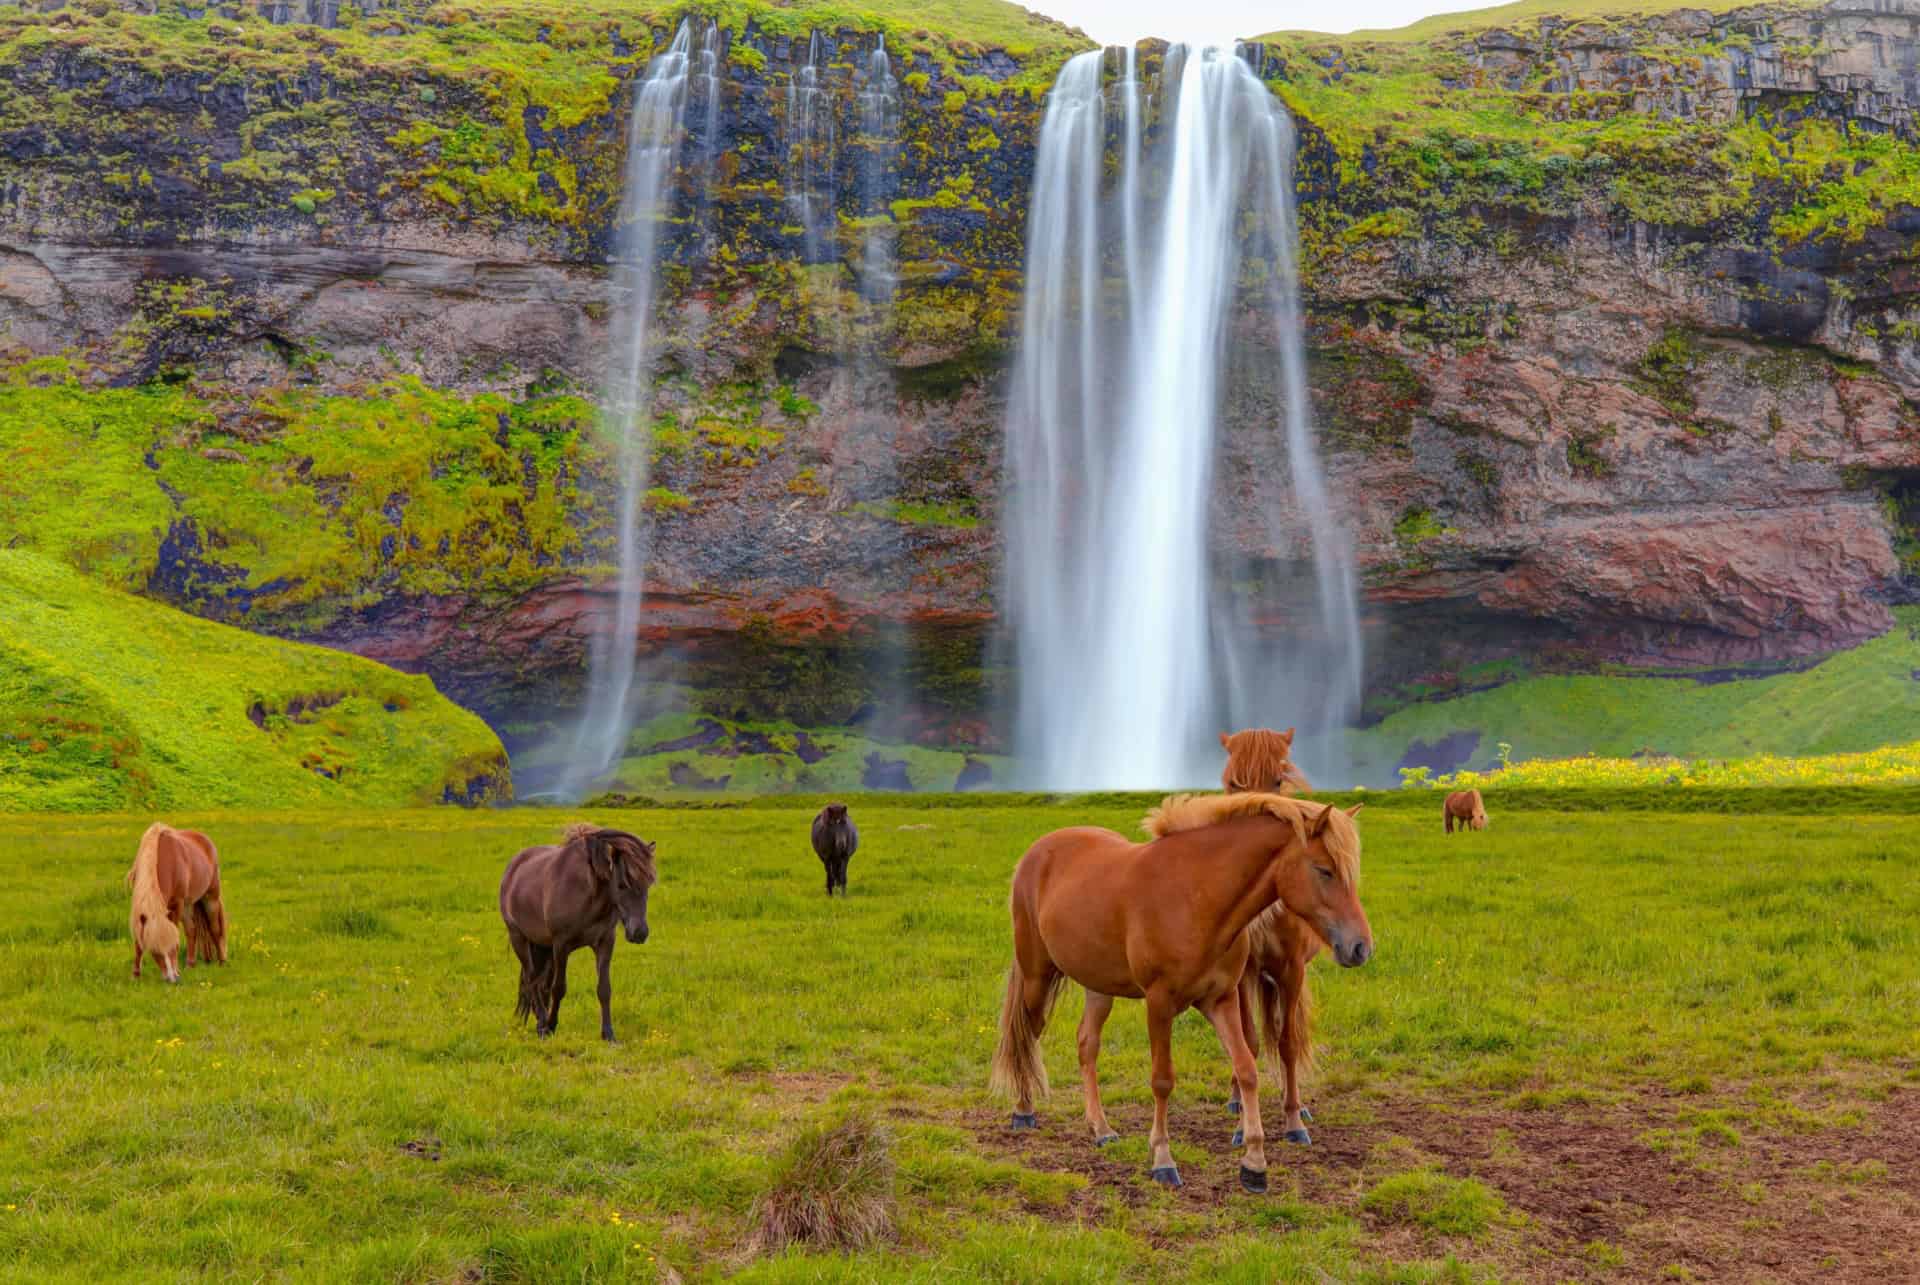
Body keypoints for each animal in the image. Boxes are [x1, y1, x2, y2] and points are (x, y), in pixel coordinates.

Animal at [123, 822, 226, 983]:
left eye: (172, 948)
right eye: (154, 950)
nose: (172, 979)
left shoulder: (177, 904)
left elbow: (176, 933)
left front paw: (176, 969)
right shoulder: (140, 912)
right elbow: (138, 943)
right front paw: (135, 975)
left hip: (210, 897)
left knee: (215, 929)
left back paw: (222, 961)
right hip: (188, 905)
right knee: (191, 930)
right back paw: (190, 964)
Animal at [499, 822, 656, 1044]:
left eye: (648, 883)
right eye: (621, 885)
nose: (639, 932)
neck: (586, 892)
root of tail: (513, 868)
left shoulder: (605, 942)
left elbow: (604, 989)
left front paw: (608, 1034)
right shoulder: (561, 945)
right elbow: (559, 988)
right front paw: (551, 1026)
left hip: (543, 946)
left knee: (540, 983)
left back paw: (540, 1021)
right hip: (519, 939)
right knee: (532, 980)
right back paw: (542, 1023)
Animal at [990, 791, 1367, 1190]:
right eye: (1324, 870)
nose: (1360, 947)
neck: (1196, 896)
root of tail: (1036, 852)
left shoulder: (1221, 1000)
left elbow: (1246, 1068)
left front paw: (1253, 1162)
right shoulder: (1159, 1003)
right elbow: (1162, 1080)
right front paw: (1162, 1160)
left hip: (1099, 986)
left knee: (1086, 1043)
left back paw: (1101, 1129)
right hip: (1036, 976)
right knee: (1027, 1032)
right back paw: (1023, 1110)